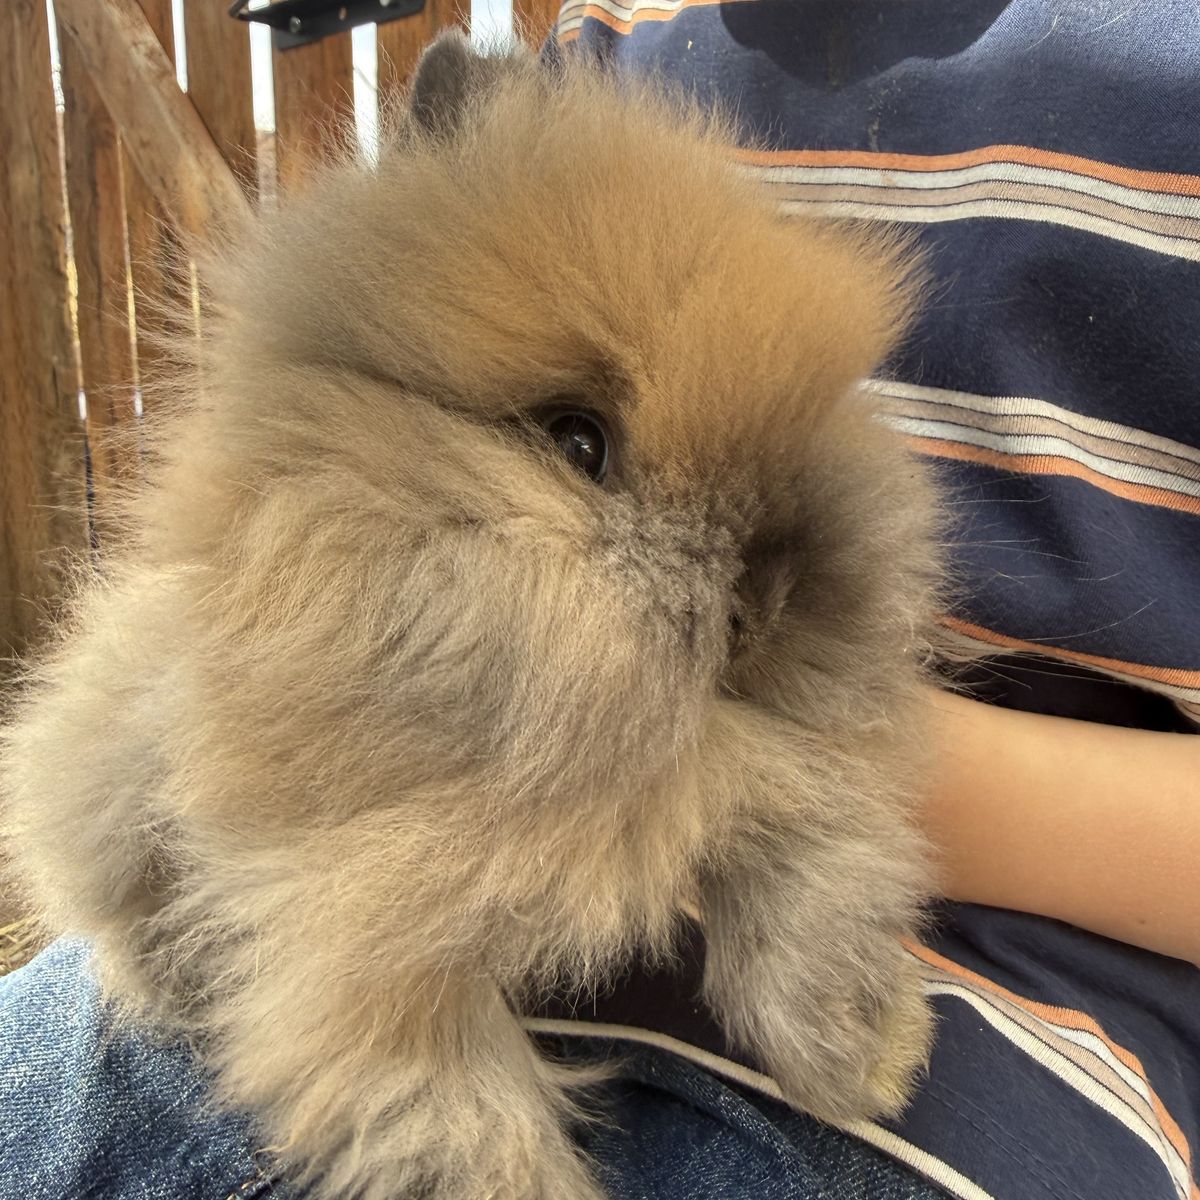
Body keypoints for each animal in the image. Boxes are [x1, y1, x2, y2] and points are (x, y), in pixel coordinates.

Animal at [1, 31, 945, 1200]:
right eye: (579, 443)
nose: (767, 604)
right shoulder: (364, 952)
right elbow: (470, 1121)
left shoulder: (771, 776)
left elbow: (818, 877)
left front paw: (869, 1064)